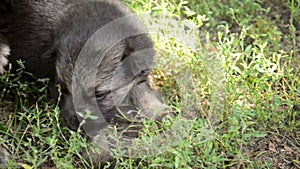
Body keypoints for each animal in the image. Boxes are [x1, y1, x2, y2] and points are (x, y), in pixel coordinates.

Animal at [0, 0, 169, 166]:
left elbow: (140, 89)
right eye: (64, 88)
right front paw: (98, 153)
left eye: (99, 94)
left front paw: (157, 110)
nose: (72, 125)